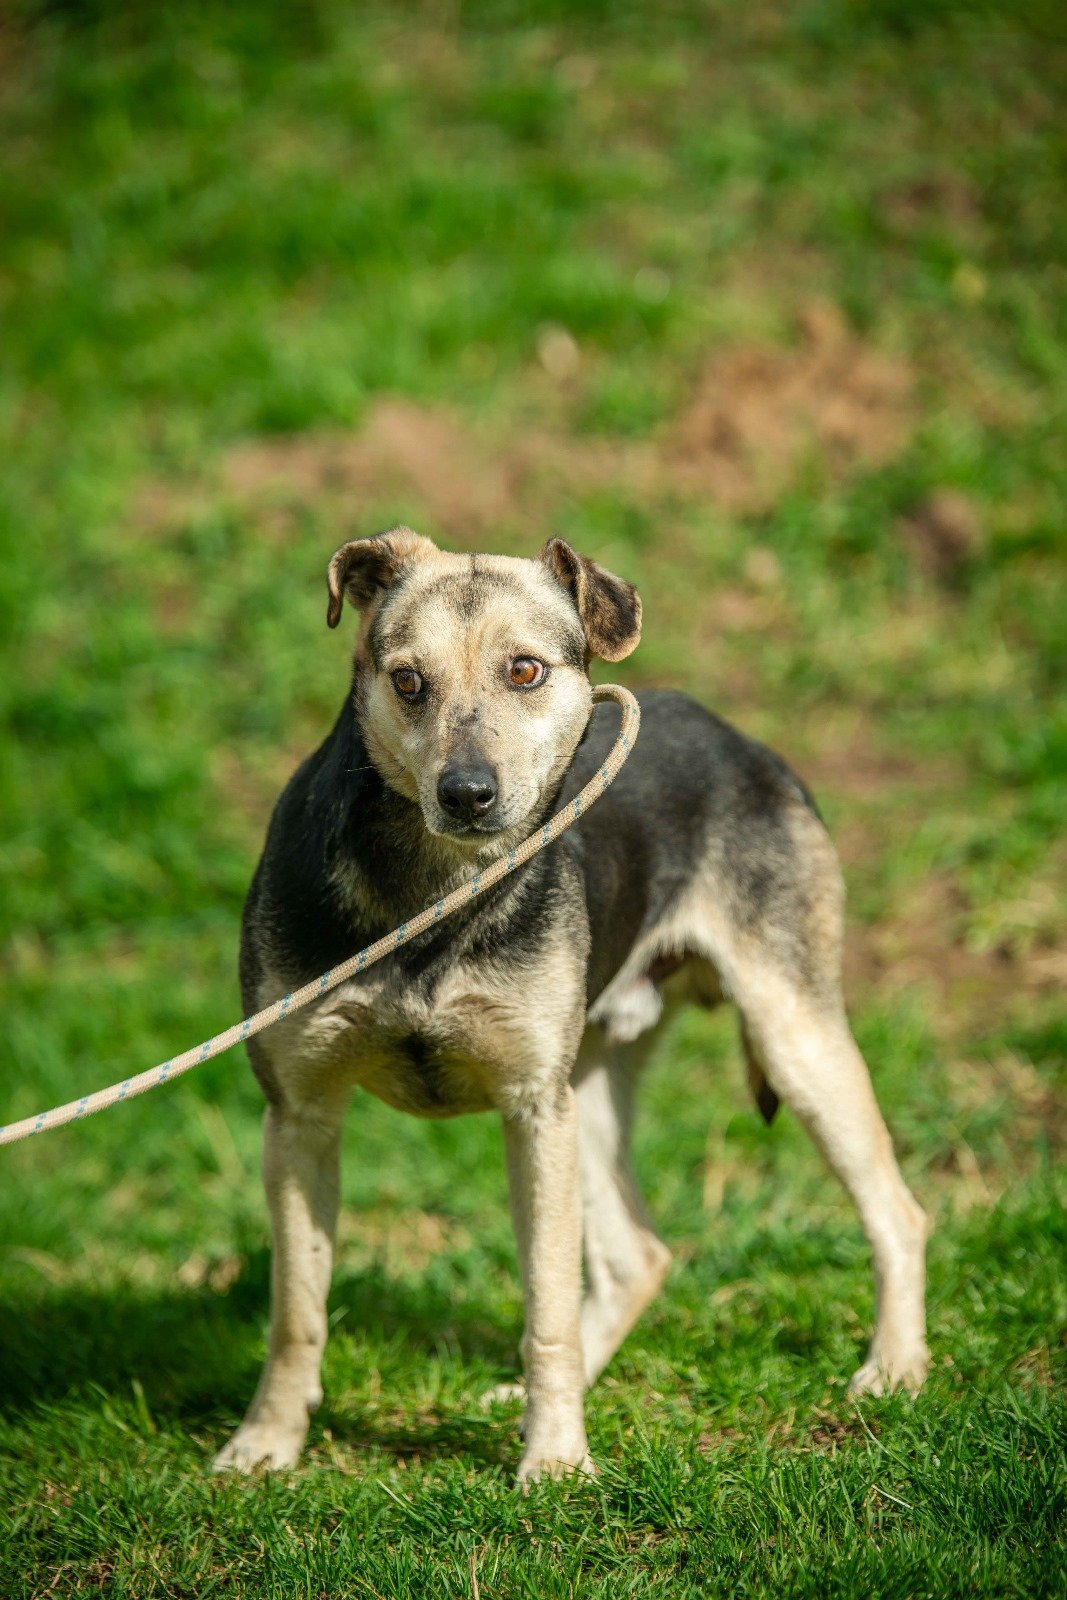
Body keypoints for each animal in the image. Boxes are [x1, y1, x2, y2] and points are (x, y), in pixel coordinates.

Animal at [213, 529, 929, 1481]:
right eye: (406, 680)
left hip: (789, 1034)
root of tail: (739, 737)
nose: (466, 794)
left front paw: (553, 1462)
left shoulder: (530, 1108)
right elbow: (296, 1310)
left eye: (524, 670)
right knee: (637, 1257)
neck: (438, 894)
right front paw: (266, 1443)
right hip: (587, 1083)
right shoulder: (298, 1114)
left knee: (897, 1213)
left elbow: (545, 1303)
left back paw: (894, 1369)